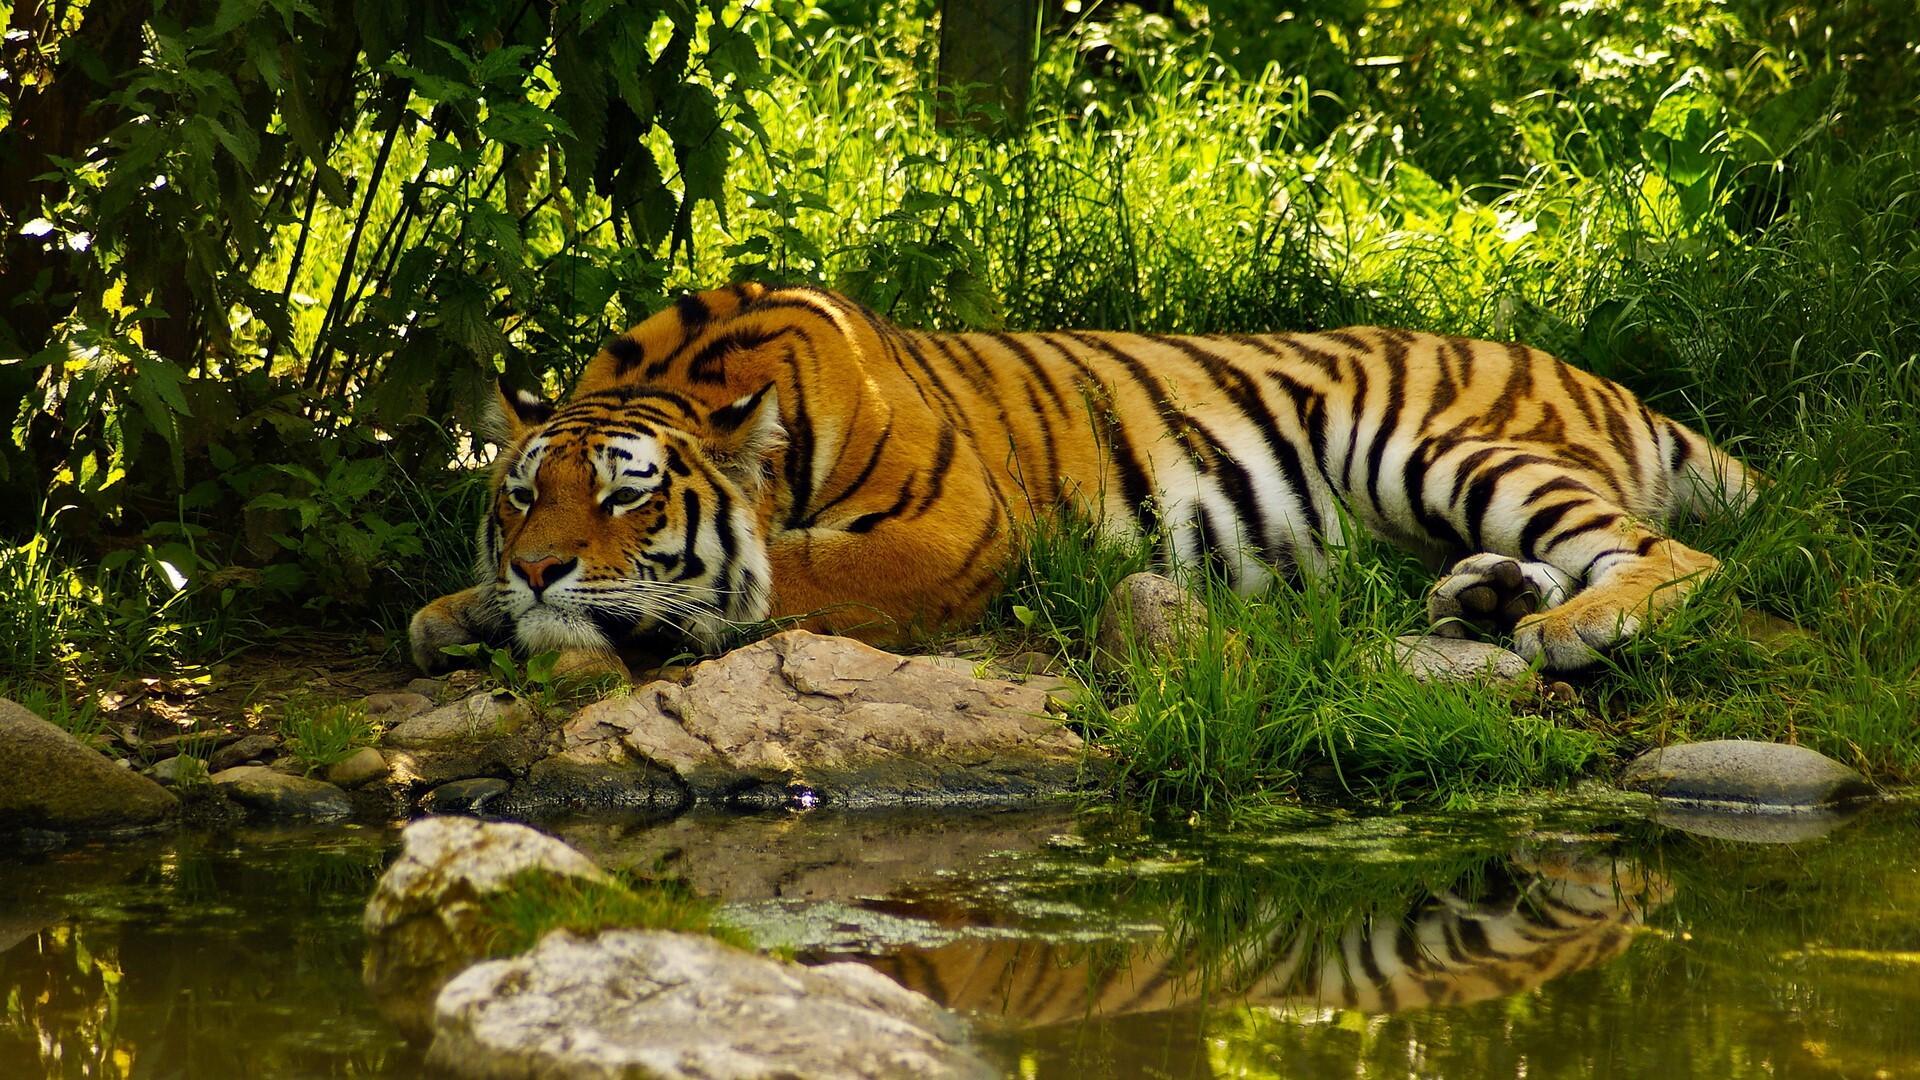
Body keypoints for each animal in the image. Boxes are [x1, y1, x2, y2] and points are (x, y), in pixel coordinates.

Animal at [408, 282, 1756, 677]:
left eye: (628, 495)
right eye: (522, 493)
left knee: (1674, 555)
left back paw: (1571, 629)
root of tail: (1599, 377)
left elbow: (781, 576)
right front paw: (461, 610)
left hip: (1436, 444)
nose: (539, 568)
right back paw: (1486, 598)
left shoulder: (951, 529)